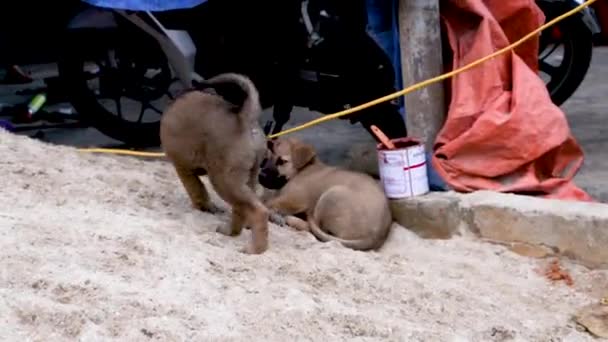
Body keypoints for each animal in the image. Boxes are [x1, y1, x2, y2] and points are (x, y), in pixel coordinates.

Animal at [159, 73, 268, 254]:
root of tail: (244, 118)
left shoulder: (182, 167)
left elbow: (196, 189)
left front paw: (203, 205)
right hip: (246, 178)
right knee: (242, 208)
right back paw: (231, 231)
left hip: (224, 180)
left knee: (257, 210)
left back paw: (255, 249)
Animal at [258, 137, 392, 251]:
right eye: (267, 158)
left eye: (282, 161)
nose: (261, 176)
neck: (302, 170)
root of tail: (375, 235)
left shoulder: (294, 200)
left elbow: (268, 203)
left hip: (330, 196)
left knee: (313, 228)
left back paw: (291, 219)